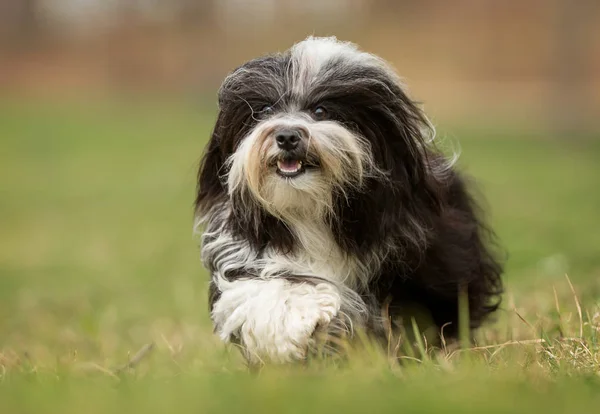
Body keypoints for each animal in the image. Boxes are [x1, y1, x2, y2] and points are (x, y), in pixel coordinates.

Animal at [195, 36, 504, 366]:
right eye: (264, 109)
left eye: (320, 110)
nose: (287, 136)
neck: (311, 212)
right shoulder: (244, 251)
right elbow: (263, 289)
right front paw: (297, 317)